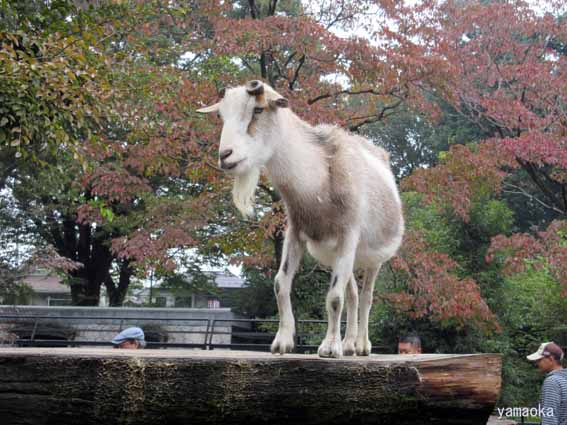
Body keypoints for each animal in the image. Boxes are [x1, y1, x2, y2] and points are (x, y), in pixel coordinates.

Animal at [199, 80, 404, 358]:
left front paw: (329, 347)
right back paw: (349, 345)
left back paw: (361, 346)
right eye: (221, 115)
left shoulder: (348, 233)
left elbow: (334, 297)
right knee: (352, 294)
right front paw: (282, 342)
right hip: (345, 257)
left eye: (258, 109)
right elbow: (280, 283)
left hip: (373, 258)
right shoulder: (295, 232)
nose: (226, 156)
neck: (320, 179)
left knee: (366, 297)